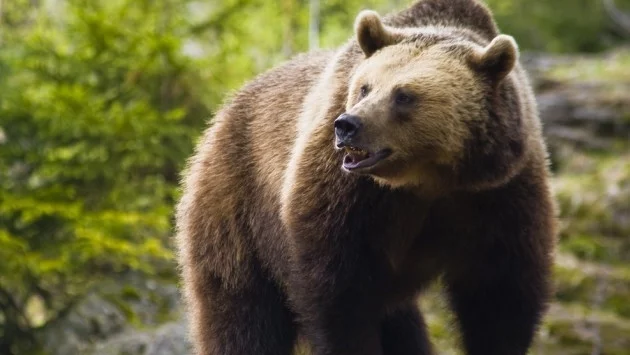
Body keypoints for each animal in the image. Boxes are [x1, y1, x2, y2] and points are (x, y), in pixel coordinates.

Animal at [175, 0, 556, 355]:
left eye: (404, 95)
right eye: (365, 87)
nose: (347, 125)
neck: (428, 178)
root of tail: (224, 111)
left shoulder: (497, 193)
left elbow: (500, 293)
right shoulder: (346, 193)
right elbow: (338, 293)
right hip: (237, 206)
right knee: (242, 313)